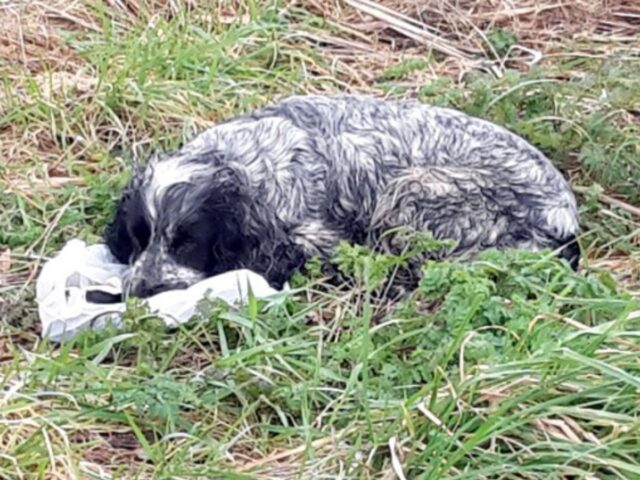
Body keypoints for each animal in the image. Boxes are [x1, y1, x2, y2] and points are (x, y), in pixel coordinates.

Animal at [105, 94, 580, 298]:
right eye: (138, 238)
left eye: (188, 243)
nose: (141, 290)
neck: (243, 162)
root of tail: (565, 220)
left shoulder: (313, 236)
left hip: (412, 191)